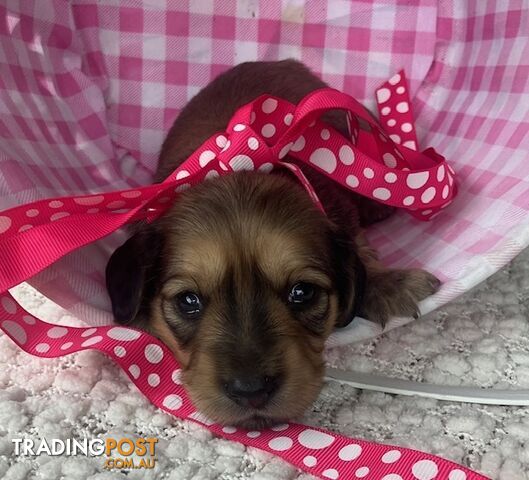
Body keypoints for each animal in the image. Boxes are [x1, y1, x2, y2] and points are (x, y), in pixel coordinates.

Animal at [105, 60, 440, 428]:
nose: (250, 391)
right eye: (188, 301)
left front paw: (388, 284)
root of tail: (283, 61)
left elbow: (361, 246)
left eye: (302, 292)